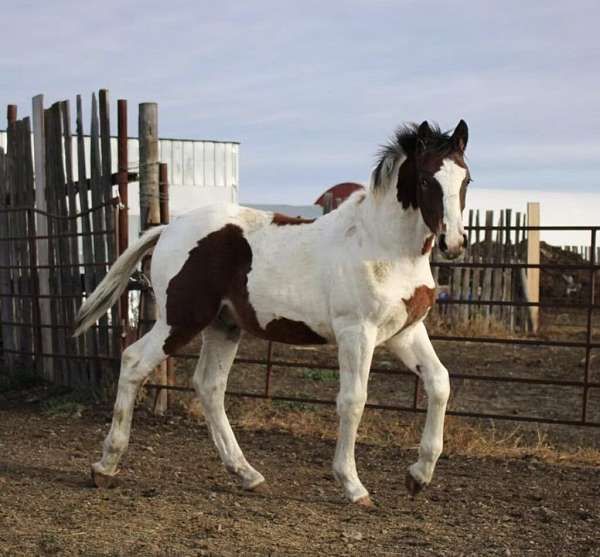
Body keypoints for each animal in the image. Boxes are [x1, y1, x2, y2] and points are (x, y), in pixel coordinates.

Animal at [74, 119, 468, 506]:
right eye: (426, 179)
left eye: (466, 179)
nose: (453, 243)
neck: (382, 244)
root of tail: (168, 227)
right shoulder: (356, 332)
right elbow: (353, 400)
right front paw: (354, 486)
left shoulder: (404, 332)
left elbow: (440, 383)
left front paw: (418, 476)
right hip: (180, 320)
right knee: (133, 362)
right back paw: (105, 467)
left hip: (224, 326)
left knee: (209, 386)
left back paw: (247, 475)